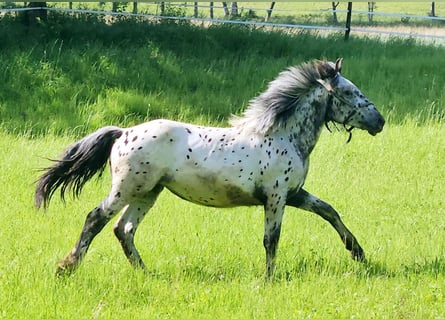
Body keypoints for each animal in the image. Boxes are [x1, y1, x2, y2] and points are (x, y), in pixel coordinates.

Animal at [34, 58, 384, 278]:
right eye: (350, 92)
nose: (379, 121)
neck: (281, 135)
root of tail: (122, 132)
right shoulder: (276, 197)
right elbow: (271, 239)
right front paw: (269, 278)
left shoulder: (294, 194)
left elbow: (329, 211)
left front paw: (358, 253)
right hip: (128, 188)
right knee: (96, 218)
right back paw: (66, 267)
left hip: (149, 192)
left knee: (124, 230)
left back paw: (146, 273)